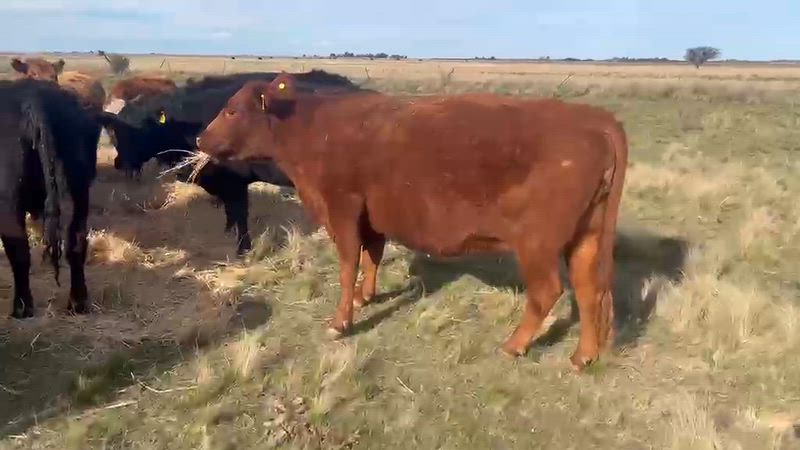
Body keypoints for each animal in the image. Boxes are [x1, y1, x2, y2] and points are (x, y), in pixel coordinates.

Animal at [0, 79, 104, 318]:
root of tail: (33, 99)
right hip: (78, 192)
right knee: (76, 241)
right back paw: (78, 302)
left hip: (9, 201)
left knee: (19, 250)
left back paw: (21, 307)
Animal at [100, 70, 362, 254]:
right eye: (115, 130)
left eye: (141, 127)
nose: (119, 163)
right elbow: (230, 211)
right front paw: (228, 231)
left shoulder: (236, 182)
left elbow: (240, 212)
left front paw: (243, 248)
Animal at [196, 74, 629, 370]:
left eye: (232, 109)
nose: (200, 139)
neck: (313, 130)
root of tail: (593, 117)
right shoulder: (372, 216)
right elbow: (371, 255)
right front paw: (366, 296)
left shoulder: (342, 208)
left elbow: (348, 263)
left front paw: (341, 321)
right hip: (587, 235)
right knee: (590, 290)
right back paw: (584, 356)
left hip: (537, 243)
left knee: (548, 291)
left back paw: (514, 345)